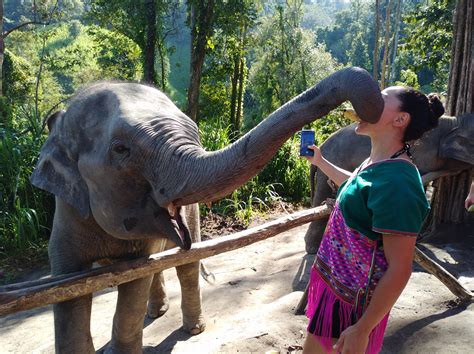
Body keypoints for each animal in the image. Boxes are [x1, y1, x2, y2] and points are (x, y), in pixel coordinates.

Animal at [30, 67, 386, 354]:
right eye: (120, 149)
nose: (369, 107)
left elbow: (135, 279)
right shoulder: (66, 216)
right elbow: (66, 291)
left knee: (185, 265)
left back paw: (191, 327)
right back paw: (158, 313)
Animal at [304, 113, 474, 254]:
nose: (458, 171)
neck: (454, 122)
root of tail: (323, 144)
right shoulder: (423, 153)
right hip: (332, 161)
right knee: (322, 194)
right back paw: (312, 248)